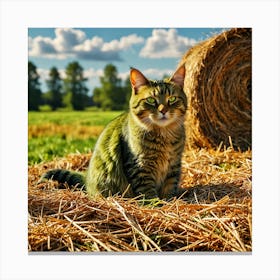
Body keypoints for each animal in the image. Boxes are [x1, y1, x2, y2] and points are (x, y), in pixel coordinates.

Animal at [42, 65, 188, 201]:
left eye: (172, 99)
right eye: (151, 100)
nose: (163, 111)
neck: (164, 135)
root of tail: (87, 180)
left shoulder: (174, 166)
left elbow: (169, 189)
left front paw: (169, 202)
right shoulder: (140, 167)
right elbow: (147, 193)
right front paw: (156, 204)